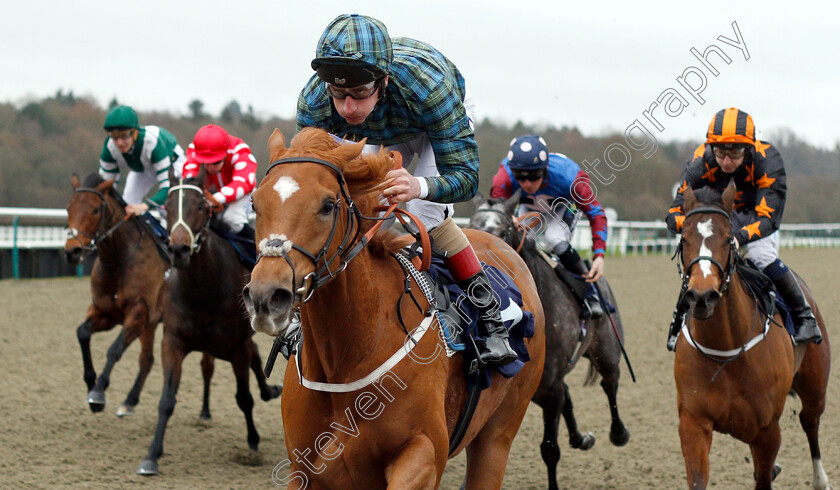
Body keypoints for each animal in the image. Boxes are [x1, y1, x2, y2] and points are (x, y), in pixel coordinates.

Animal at [136, 167, 282, 474]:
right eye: (167, 207)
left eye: (201, 207)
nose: (178, 250)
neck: (203, 289)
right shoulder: (173, 342)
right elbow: (166, 400)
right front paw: (152, 455)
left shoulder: (236, 346)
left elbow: (244, 398)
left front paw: (253, 445)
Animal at [241, 128, 544, 488]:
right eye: (255, 203)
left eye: (328, 206)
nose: (265, 296)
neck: (349, 356)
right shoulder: (303, 468)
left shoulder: (423, 453)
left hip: (498, 435)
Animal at [470, 193, 628, 488]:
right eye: (471, 228)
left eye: (503, 232)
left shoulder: (550, 389)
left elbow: (550, 449)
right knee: (572, 395)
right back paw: (582, 438)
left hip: (607, 350)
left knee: (610, 382)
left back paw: (618, 432)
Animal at [672, 185, 832, 490]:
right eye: (684, 239)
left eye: (727, 239)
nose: (702, 296)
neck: (726, 348)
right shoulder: (693, 422)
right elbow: (698, 479)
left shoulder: (768, 430)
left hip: (815, 385)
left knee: (811, 422)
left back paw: (821, 479)